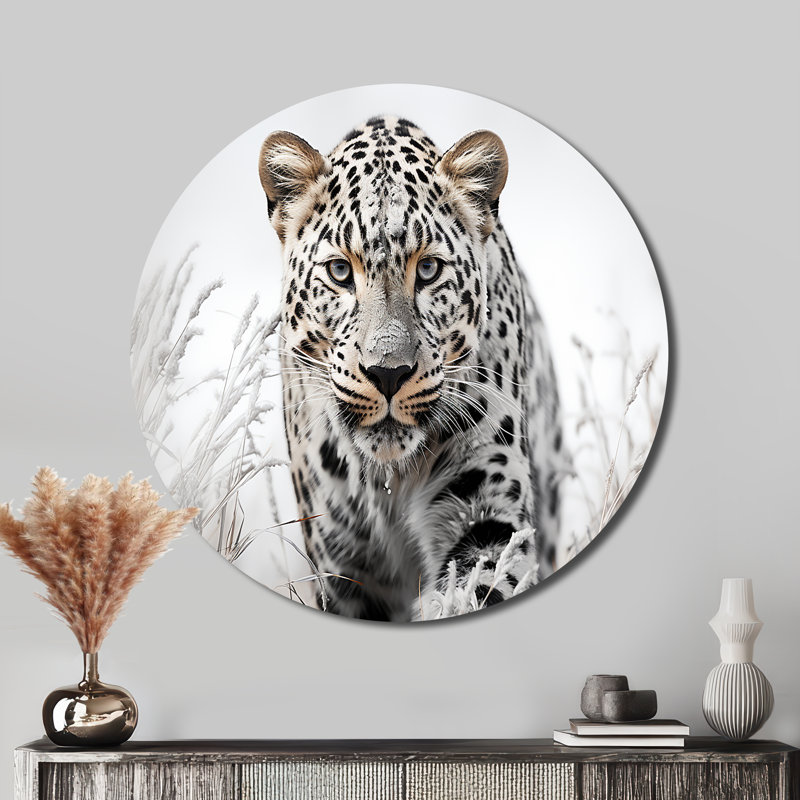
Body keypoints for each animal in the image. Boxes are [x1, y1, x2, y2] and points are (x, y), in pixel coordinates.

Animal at [258, 115, 564, 621]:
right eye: (340, 272)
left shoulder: (486, 505)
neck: (389, 482)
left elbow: (478, 586)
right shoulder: (342, 560)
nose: (388, 373)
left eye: (428, 270)